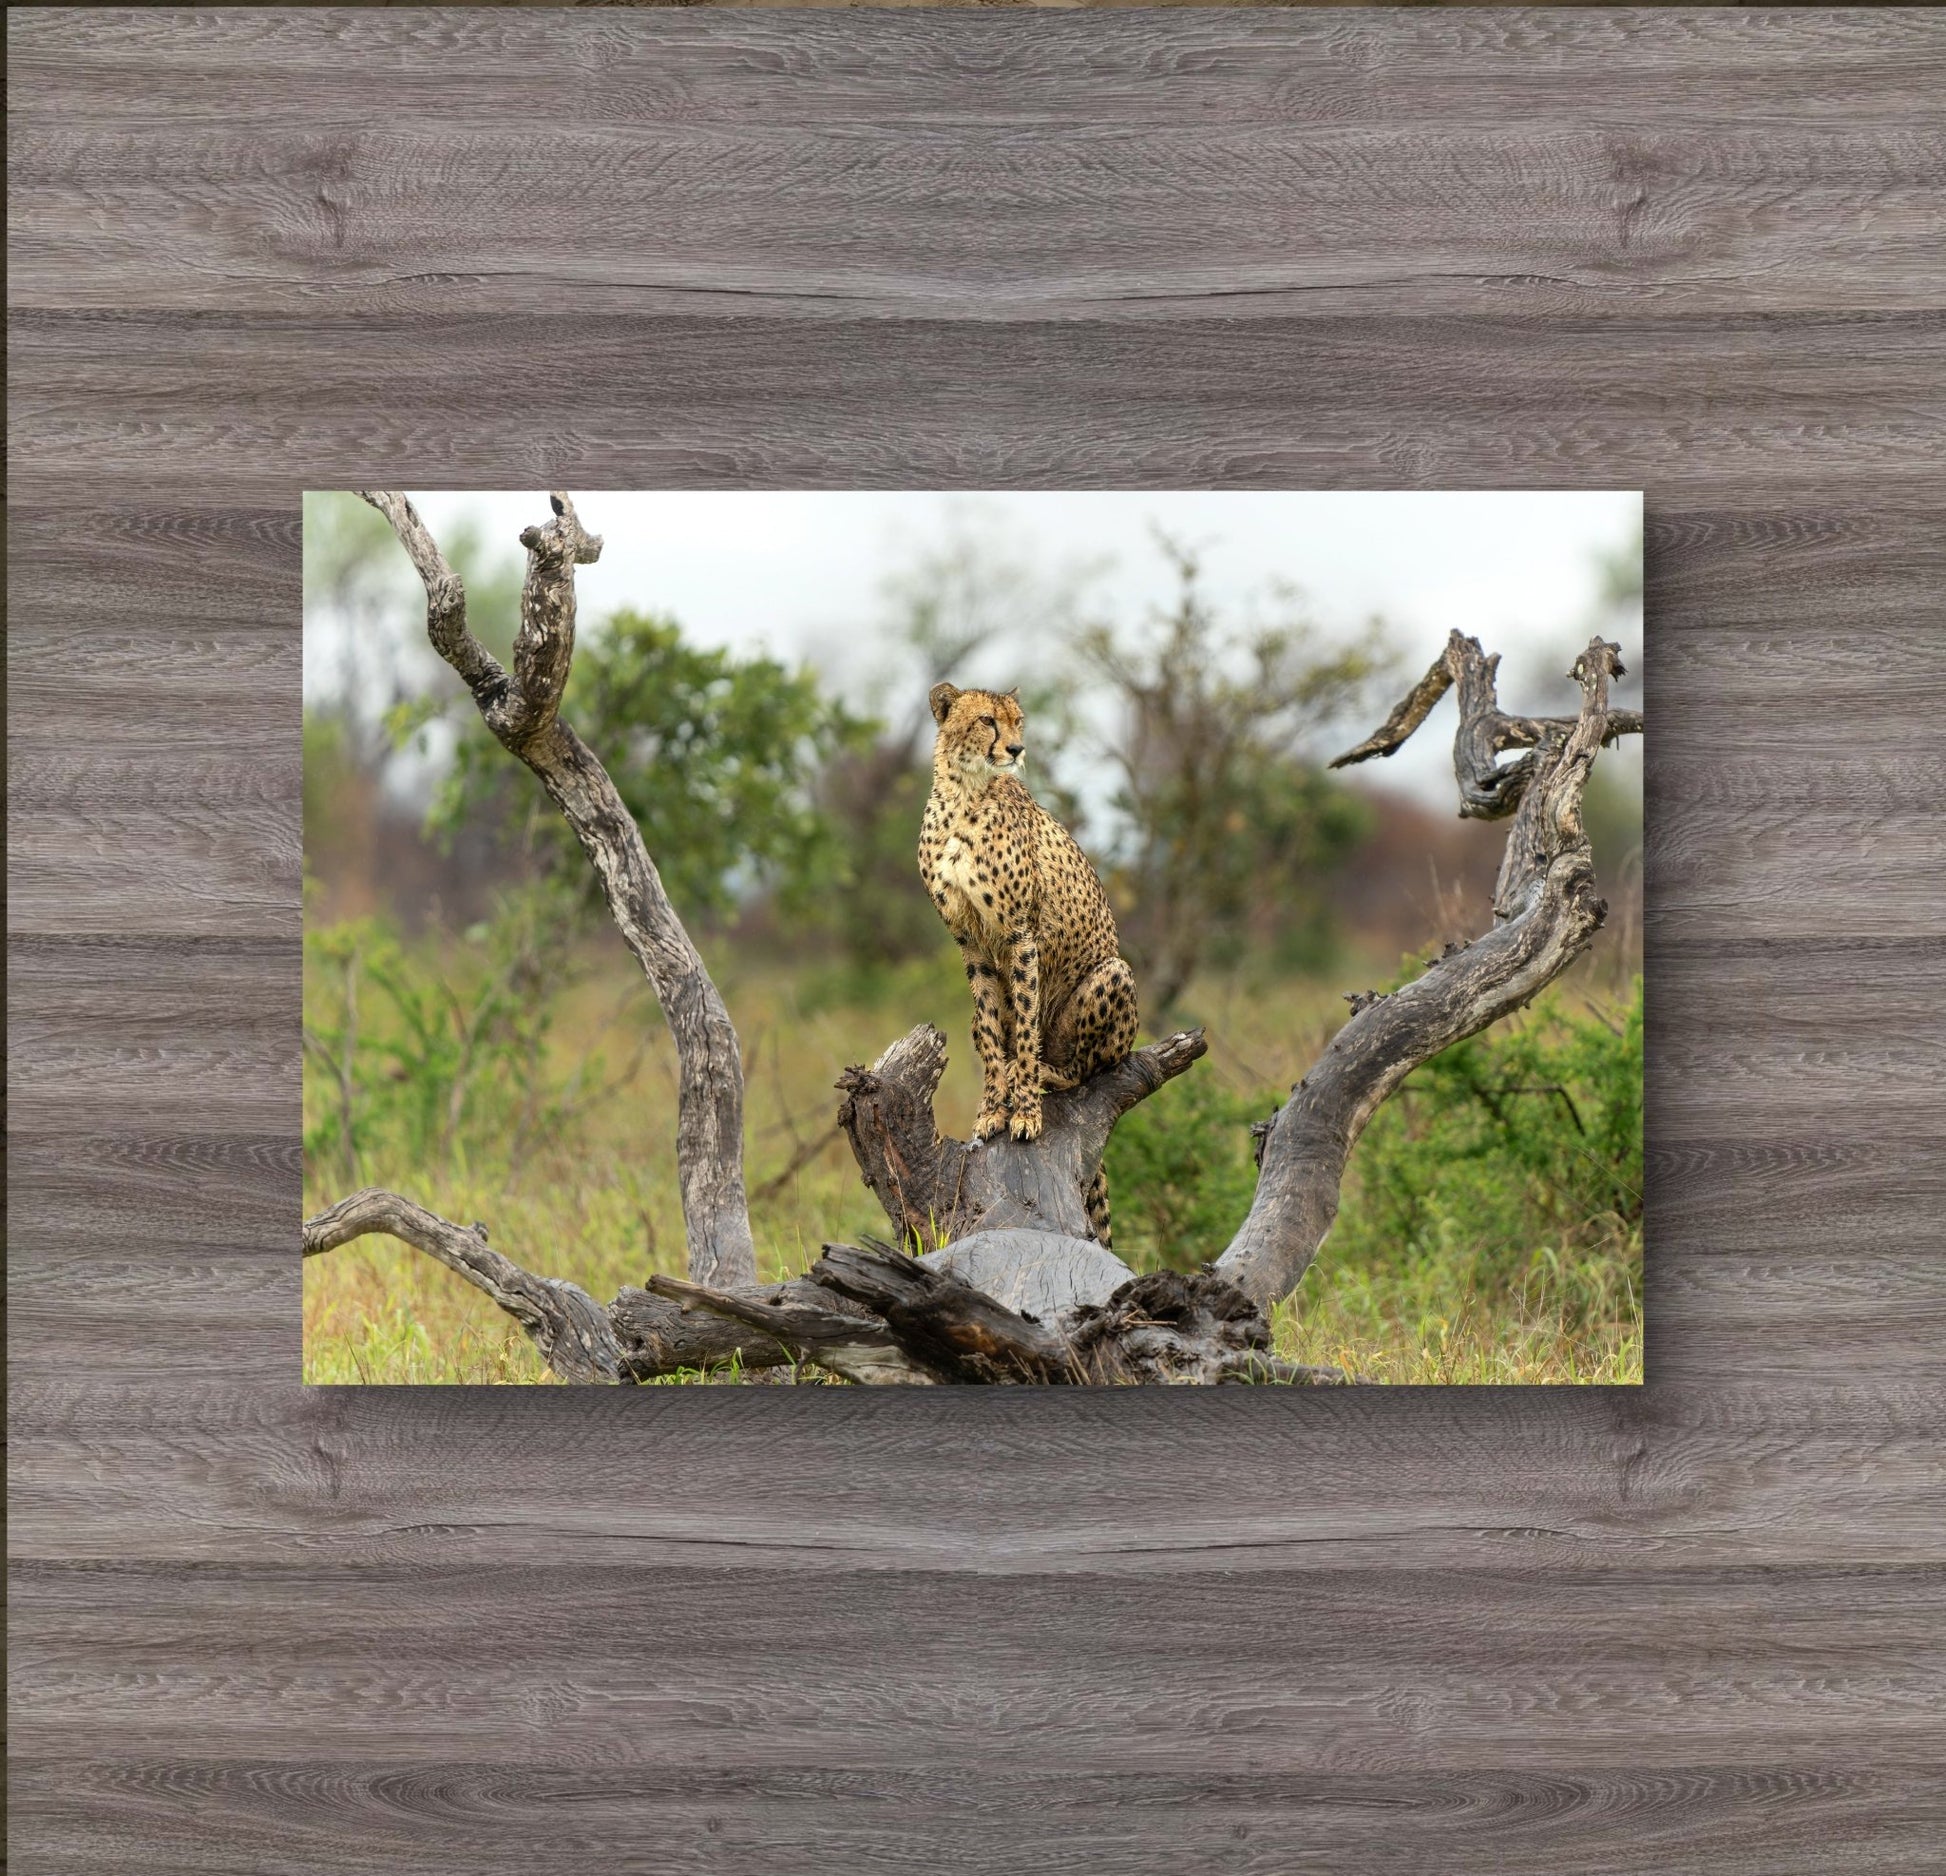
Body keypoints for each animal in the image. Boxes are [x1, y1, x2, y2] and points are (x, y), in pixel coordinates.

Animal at [918, 682, 1139, 1246]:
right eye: (987, 721)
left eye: (1019, 721)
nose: (1016, 750)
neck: (964, 794)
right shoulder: (971, 946)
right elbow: (993, 1031)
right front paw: (992, 1110)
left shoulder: (1021, 934)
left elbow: (1021, 1025)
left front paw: (1023, 1113)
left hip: (1114, 976)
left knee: (1087, 1069)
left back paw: (1042, 1072)